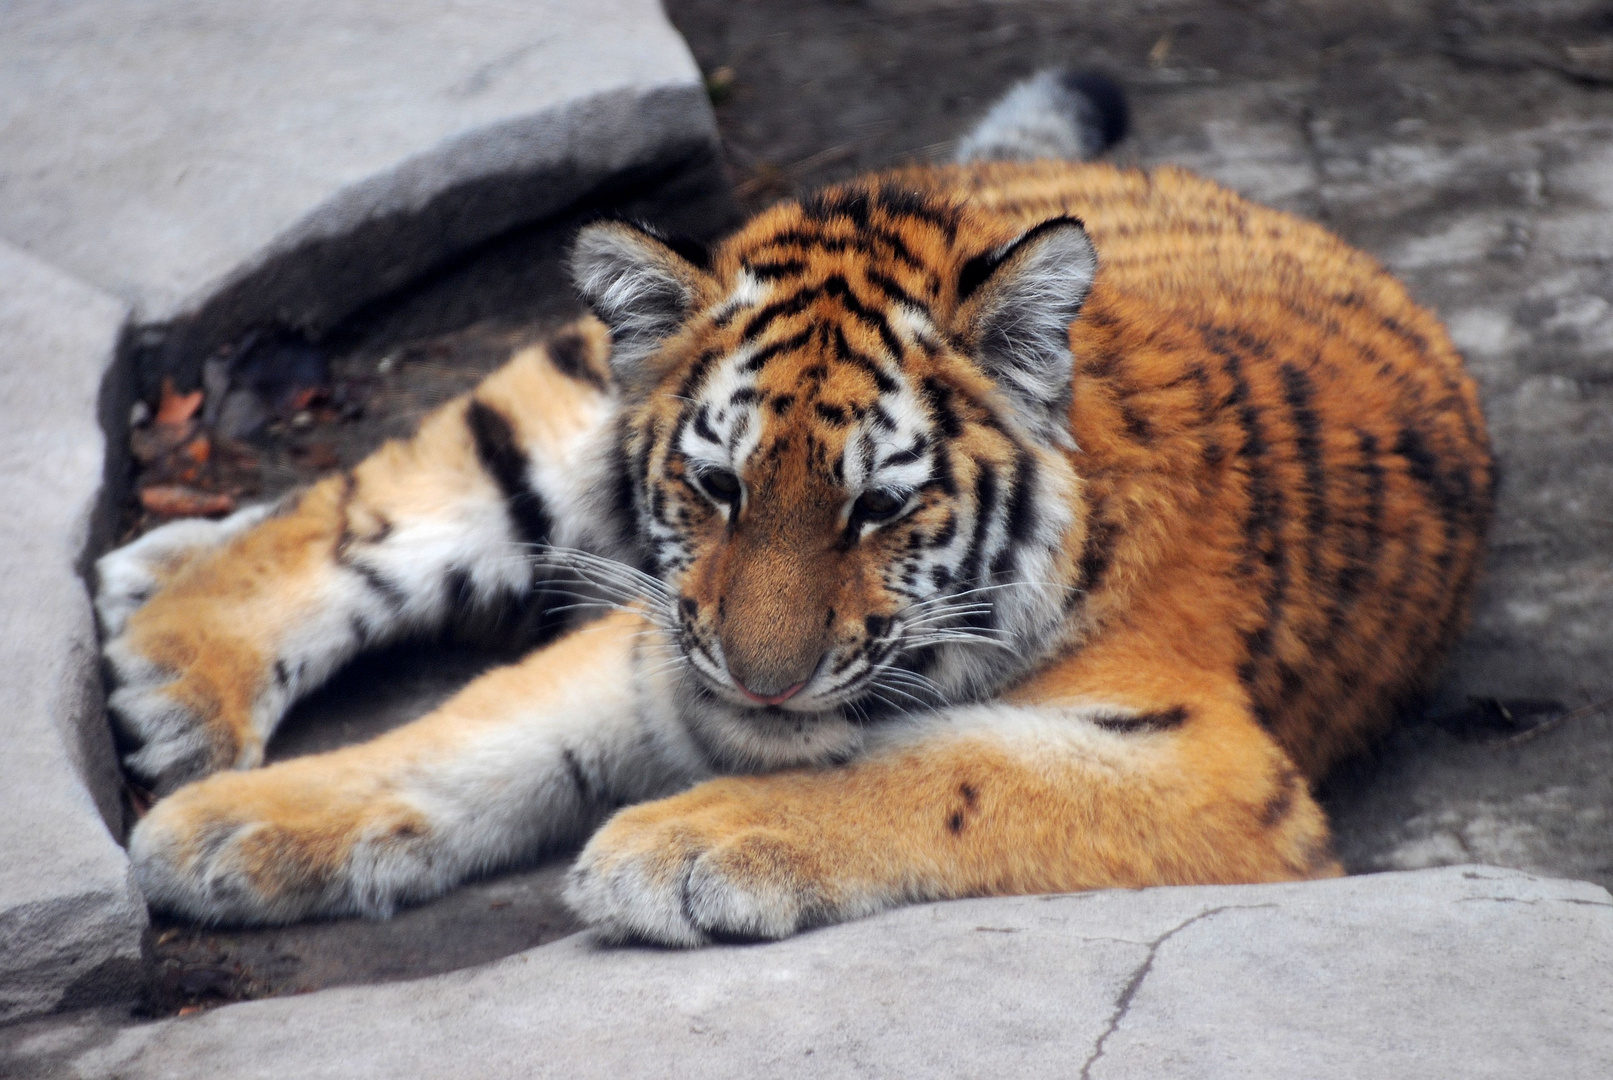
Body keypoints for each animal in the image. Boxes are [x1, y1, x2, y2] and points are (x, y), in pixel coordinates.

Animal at [97, 69, 1483, 947]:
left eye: (875, 508)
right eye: (716, 487)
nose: (761, 686)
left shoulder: (1208, 765)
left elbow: (940, 769)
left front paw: (686, 846)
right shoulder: (660, 630)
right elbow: (466, 733)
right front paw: (220, 828)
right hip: (567, 390)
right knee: (380, 495)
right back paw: (169, 660)